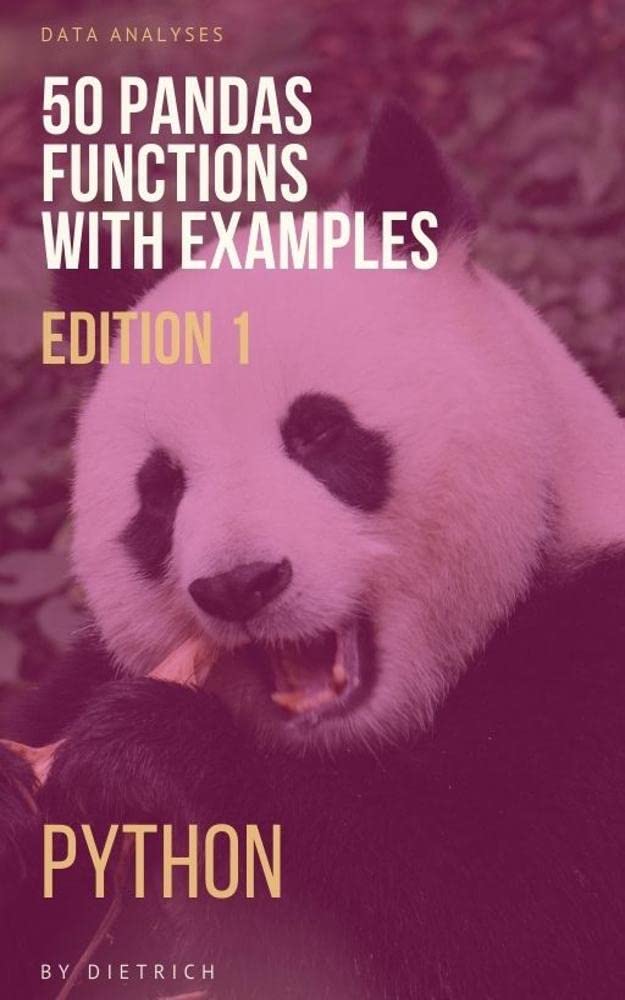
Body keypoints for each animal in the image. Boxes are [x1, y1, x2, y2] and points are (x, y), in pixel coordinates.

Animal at [2, 104, 625, 999]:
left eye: (319, 432)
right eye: (162, 488)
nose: (240, 583)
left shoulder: (588, 656)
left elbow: (513, 931)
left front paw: (152, 757)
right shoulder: (81, 675)